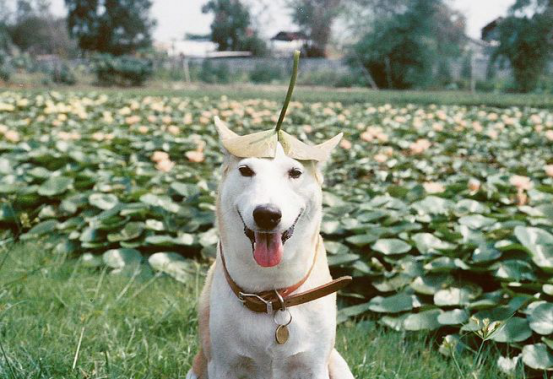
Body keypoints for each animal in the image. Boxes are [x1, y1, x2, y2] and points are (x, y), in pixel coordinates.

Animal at [187, 116, 354, 379]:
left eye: (295, 172)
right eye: (245, 170)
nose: (267, 214)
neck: (271, 294)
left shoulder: (314, 365)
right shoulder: (223, 365)